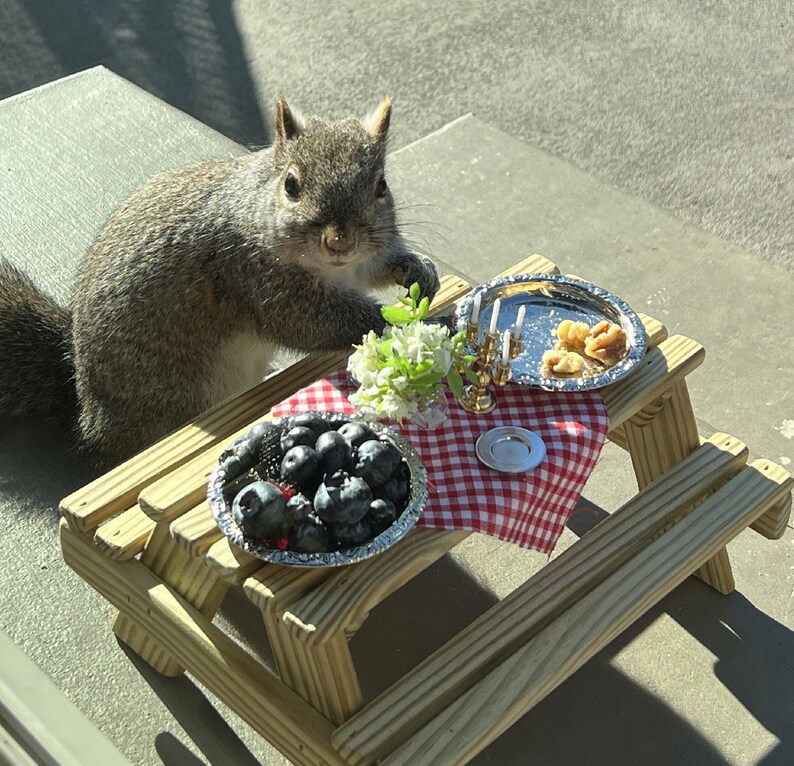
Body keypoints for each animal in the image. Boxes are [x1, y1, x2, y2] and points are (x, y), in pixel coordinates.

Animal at [0, 95, 440, 466]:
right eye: (290, 185)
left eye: (381, 185)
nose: (339, 241)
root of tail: (86, 408)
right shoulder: (254, 276)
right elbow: (310, 322)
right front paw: (405, 322)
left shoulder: (356, 263)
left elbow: (374, 266)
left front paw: (418, 269)